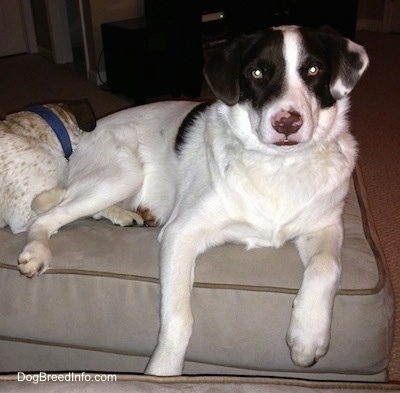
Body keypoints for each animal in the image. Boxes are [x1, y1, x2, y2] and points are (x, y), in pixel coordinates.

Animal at [18, 26, 368, 376]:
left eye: (314, 70)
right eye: (256, 73)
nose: (287, 122)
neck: (279, 166)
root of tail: (85, 135)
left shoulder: (327, 226)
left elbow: (327, 266)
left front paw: (308, 336)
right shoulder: (180, 234)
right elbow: (179, 318)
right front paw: (163, 372)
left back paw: (126, 215)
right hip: (122, 174)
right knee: (45, 217)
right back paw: (37, 250)